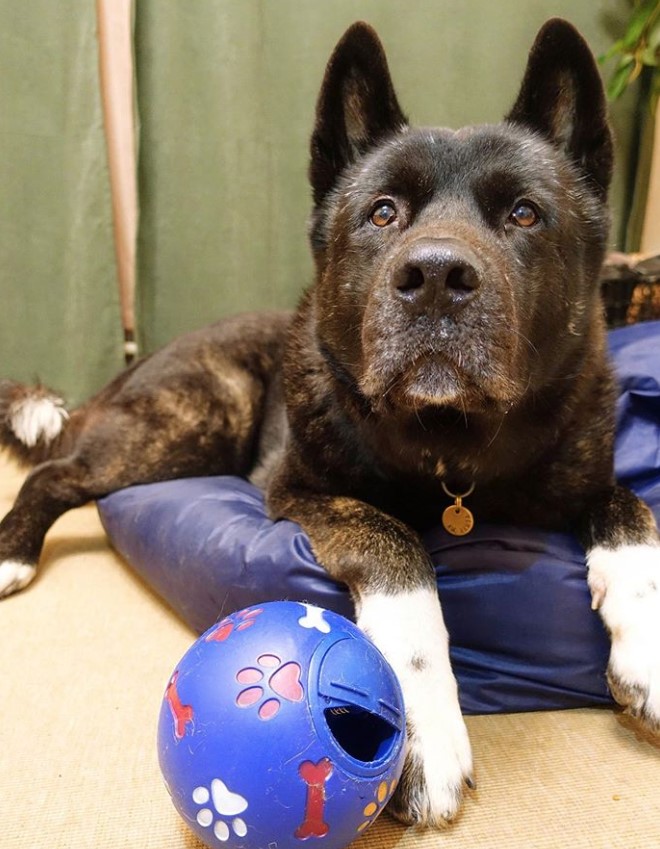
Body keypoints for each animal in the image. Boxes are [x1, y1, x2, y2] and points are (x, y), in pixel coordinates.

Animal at [1, 19, 660, 828]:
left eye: (524, 214)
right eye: (382, 212)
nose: (435, 278)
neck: (453, 448)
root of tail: (141, 358)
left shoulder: (583, 474)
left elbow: (630, 508)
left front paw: (645, 644)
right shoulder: (303, 490)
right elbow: (397, 542)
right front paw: (427, 730)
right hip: (196, 419)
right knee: (56, 473)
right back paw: (12, 555)